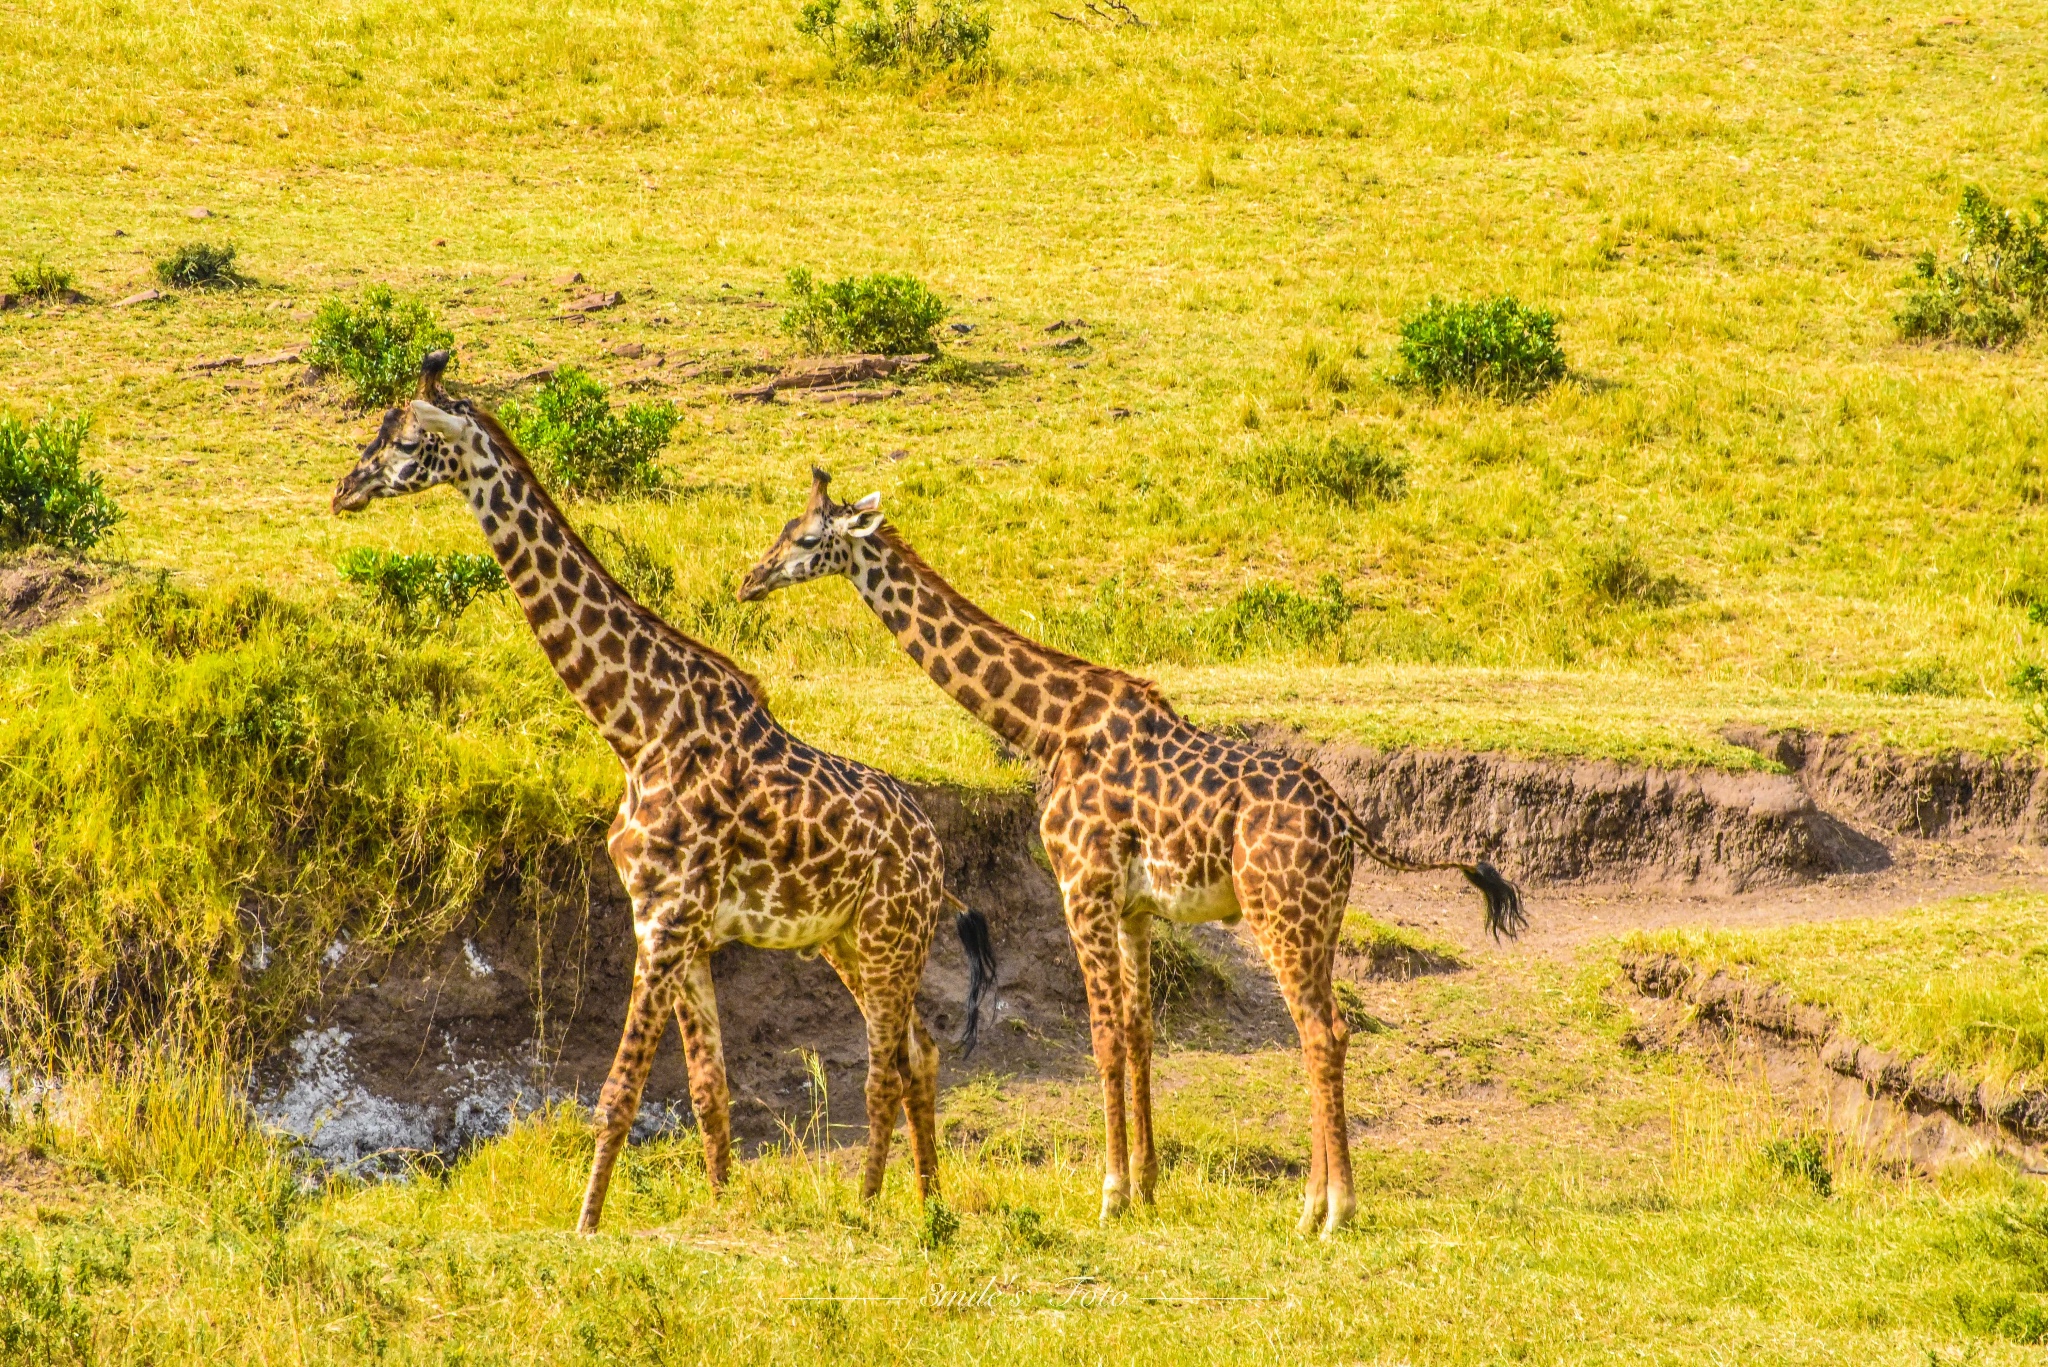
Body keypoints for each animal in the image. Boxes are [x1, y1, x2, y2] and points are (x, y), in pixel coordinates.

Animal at [329, 358, 999, 1237]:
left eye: (408, 441)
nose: (344, 489)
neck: (635, 725)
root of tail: (936, 850)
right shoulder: (682, 929)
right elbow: (710, 1091)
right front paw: (720, 1205)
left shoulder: (665, 919)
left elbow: (618, 1094)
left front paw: (585, 1227)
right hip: (848, 939)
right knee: (918, 1047)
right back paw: (929, 1203)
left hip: (890, 935)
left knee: (887, 1058)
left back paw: (871, 1206)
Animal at [737, 473, 1523, 1237]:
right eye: (782, 529)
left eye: (804, 538)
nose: (749, 580)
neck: (1048, 725)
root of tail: (1346, 820)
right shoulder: (1135, 907)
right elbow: (1142, 1031)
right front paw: (1147, 1186)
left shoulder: (1080, 885)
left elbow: (1105, 1034)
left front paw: (1111, 1194)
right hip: (1320, 917)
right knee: (1328, 1029)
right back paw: (1314, 1206)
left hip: (1279, 913)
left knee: (1321, 1032)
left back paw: (1329, 1212)